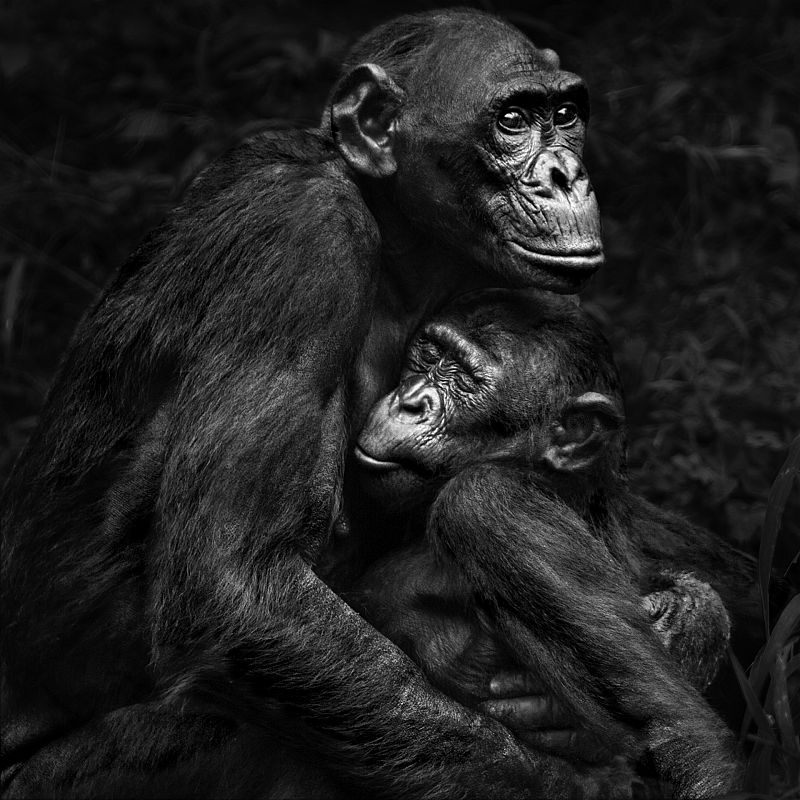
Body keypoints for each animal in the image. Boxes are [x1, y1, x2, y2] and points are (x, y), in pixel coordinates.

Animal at [0, 7, 600, 800]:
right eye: (511, 120)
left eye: (564, 116)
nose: (566, 173)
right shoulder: (302, 236)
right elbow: (238, 590)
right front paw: (558, 777)